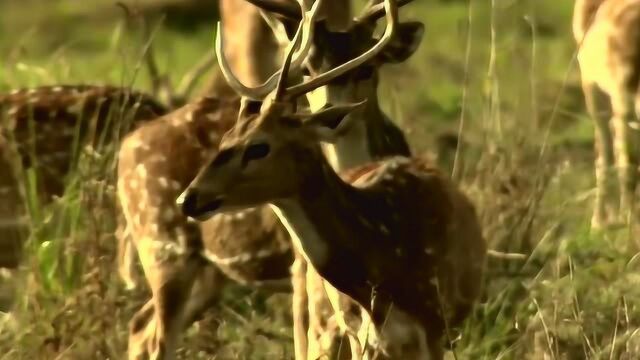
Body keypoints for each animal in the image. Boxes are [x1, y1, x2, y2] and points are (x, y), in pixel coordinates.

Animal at [572, 0, 640, 229]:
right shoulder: (622, 107)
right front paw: (631, 221)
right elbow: (628, 165)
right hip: (594, 94)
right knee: (606, 155)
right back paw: (600, 221)